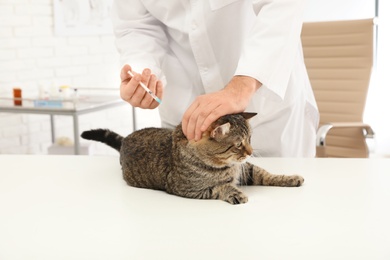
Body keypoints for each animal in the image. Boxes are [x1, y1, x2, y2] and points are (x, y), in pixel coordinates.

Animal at [80, 112, 304, 204]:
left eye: (250, 139)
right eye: (239, 144)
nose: (250, 152)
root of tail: (126, 138)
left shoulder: (246, 169)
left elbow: (266, 174)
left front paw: (290, 178)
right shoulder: (188, 189)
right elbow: (220, 187)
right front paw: (234, 192)